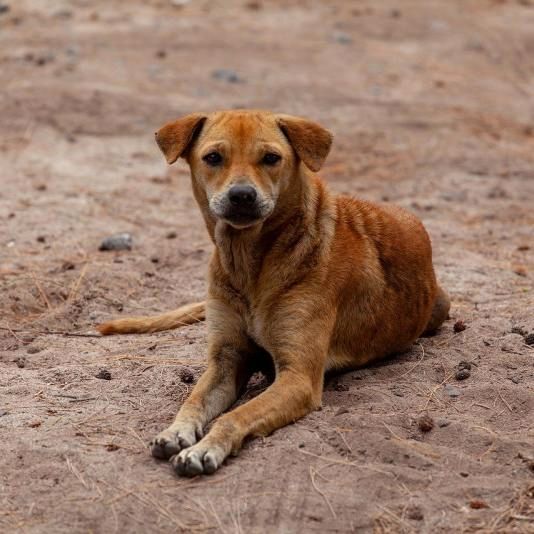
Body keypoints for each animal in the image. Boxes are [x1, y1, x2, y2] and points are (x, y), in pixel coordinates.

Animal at [97, 111, 452, 480]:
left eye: (270, 158)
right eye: (213, 157)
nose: (241, 195)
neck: (248, 263)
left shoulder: (298, 378)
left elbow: (234, 416)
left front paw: (205, 448)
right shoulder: (226, 359)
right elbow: (193, 400)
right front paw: (176, 431)